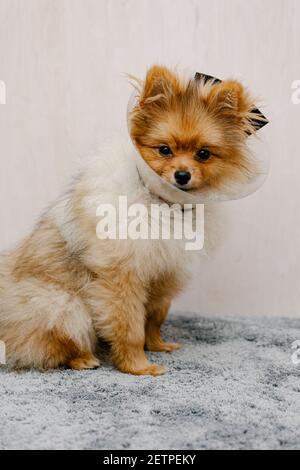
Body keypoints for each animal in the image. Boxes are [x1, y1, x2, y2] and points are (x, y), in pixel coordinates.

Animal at [0, 65, 262, 374]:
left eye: (203, 154)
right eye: (164, 150)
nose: (182, 175)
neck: (164, 203)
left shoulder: (162, 272)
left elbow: (155, 317)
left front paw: (157, 345)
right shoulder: (122, 275)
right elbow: (130, 326)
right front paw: (138, 365)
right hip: (63, 305)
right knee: (53, 342)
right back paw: (83, 358)